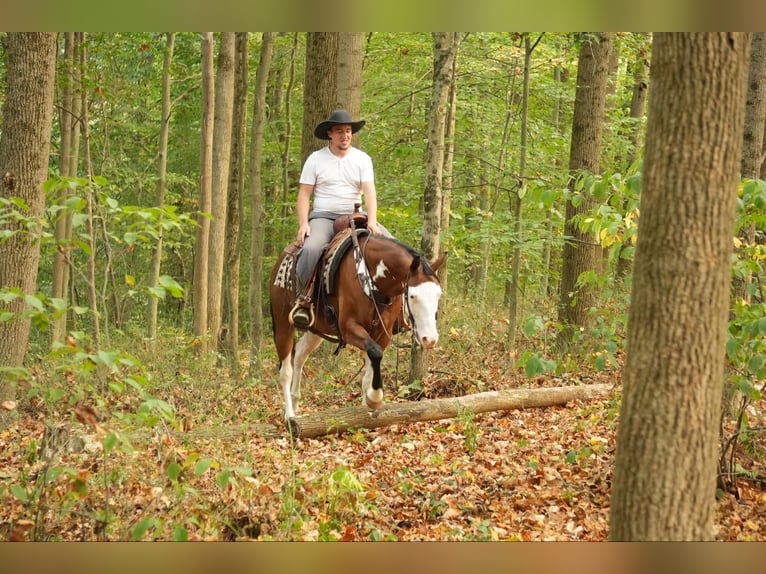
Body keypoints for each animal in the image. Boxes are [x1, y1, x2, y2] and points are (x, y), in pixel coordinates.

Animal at [272, 232, 448, 426]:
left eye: (438, 294)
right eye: (412, 296)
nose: (429, 339)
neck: (369, 278)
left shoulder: (382, 333)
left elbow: (370, 370)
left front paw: (366, 409)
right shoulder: (349, 328)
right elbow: (376, 353)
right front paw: (375, 398)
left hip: (315, 330)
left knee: (300, 355)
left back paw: (296, 403)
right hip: (283, 324)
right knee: (285, 371)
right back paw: (290, 415)